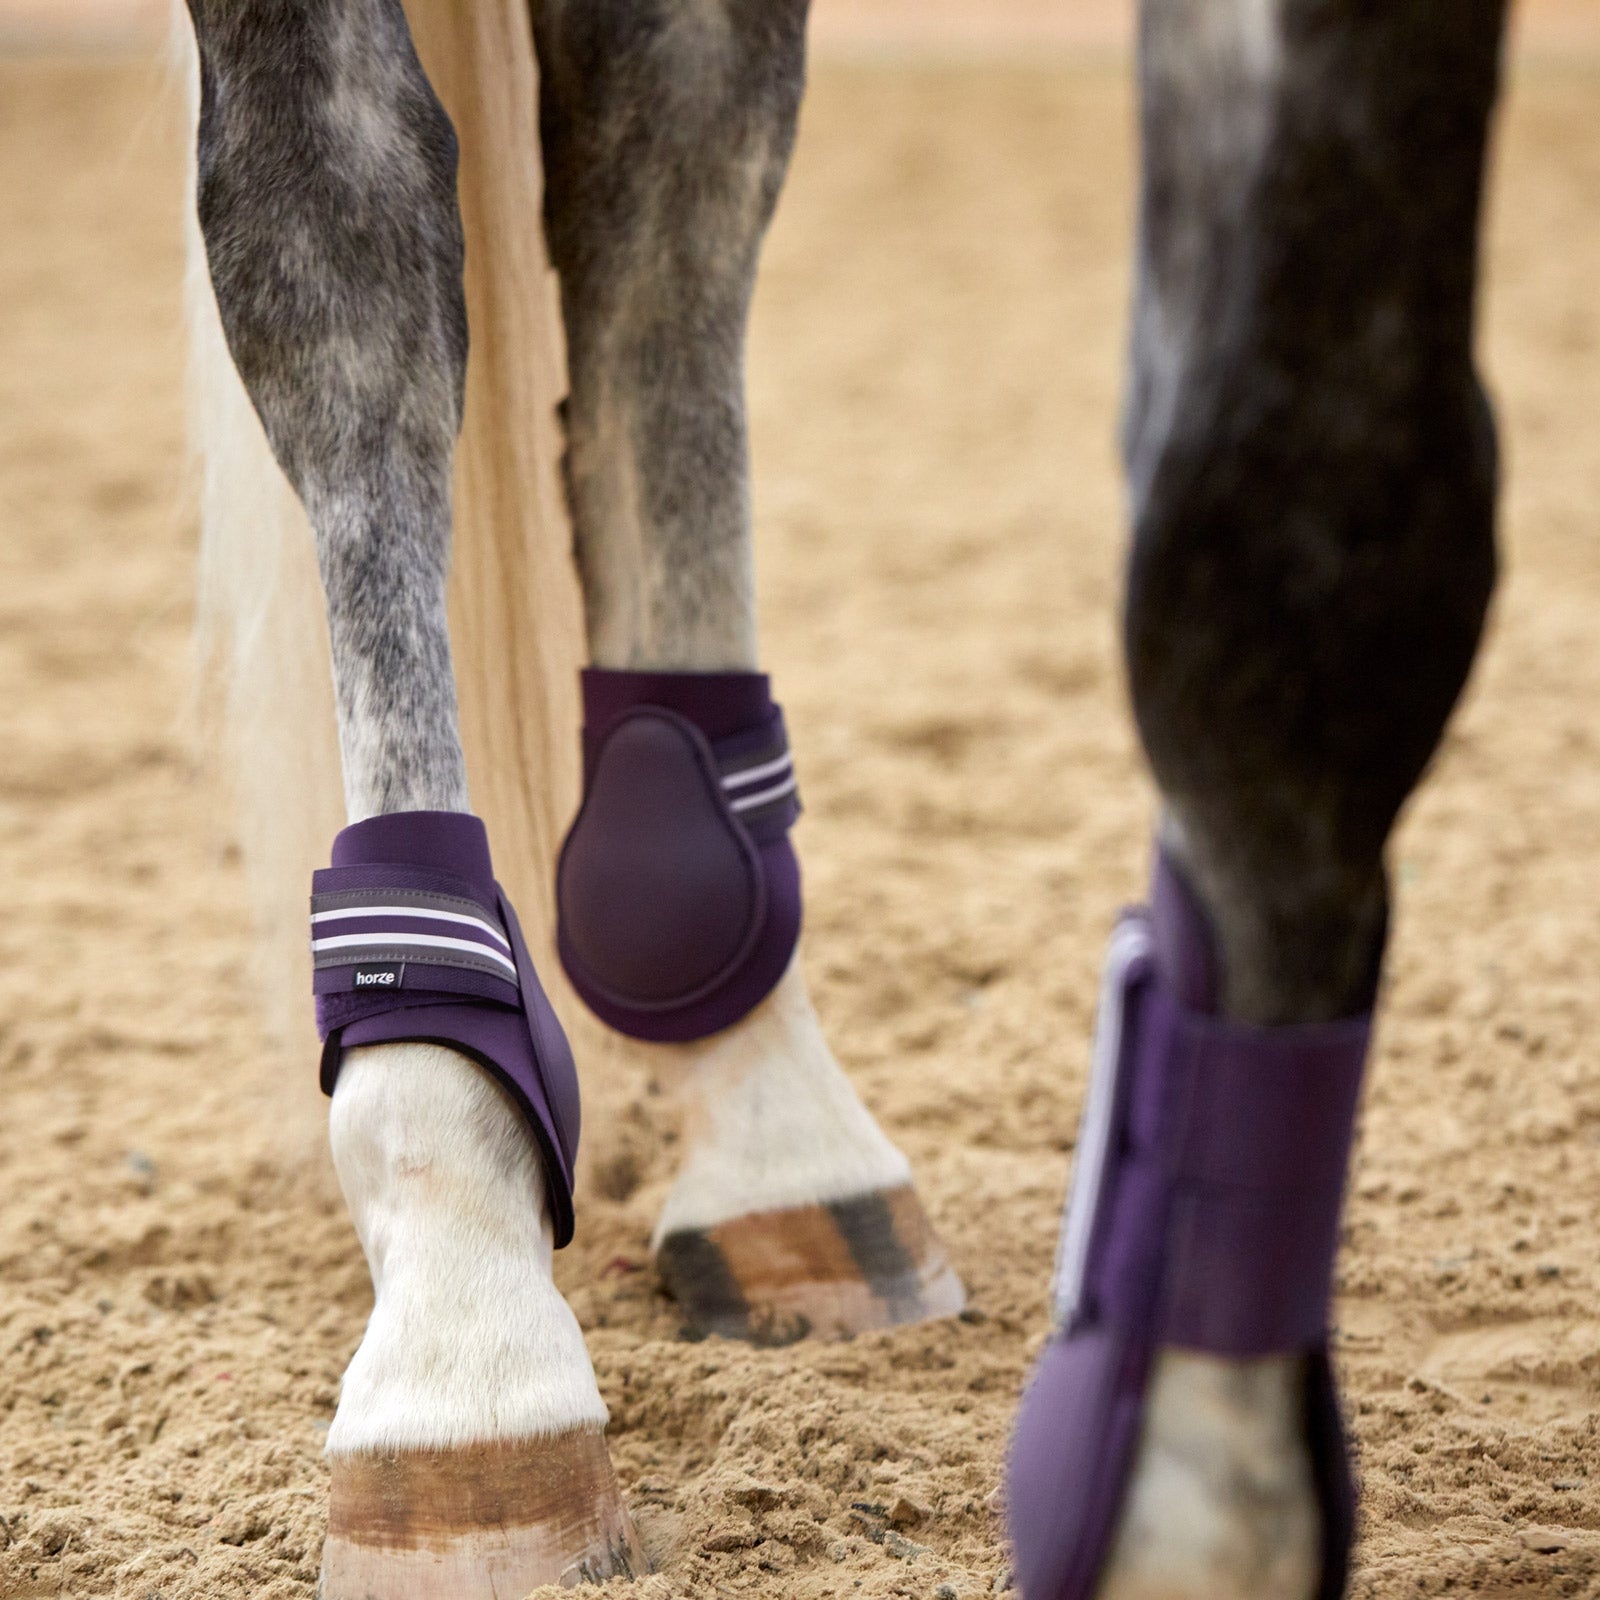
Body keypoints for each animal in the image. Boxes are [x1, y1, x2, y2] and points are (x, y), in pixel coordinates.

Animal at [178, 0, 1509, 1596]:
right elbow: (336, 253)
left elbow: (1297, 549)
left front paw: (1195, 1485)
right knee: (369, 255)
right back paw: (474, 1300)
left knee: (671, 193)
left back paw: (776, 1132)